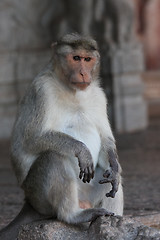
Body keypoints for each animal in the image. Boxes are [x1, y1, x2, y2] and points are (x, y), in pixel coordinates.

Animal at [0, 32, 123, 239]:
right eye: (76, 58)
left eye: (87, 59)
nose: (83, 73)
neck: (74, 91)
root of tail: (29, 202)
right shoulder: (42, 90)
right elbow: (32, 138)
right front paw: (82, 150)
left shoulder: (99, 95)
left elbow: (106, 139)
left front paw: (113, 166)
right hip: (38, 195)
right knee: (53, 157)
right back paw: (73, 215)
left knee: (110, 175)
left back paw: (113, 219)